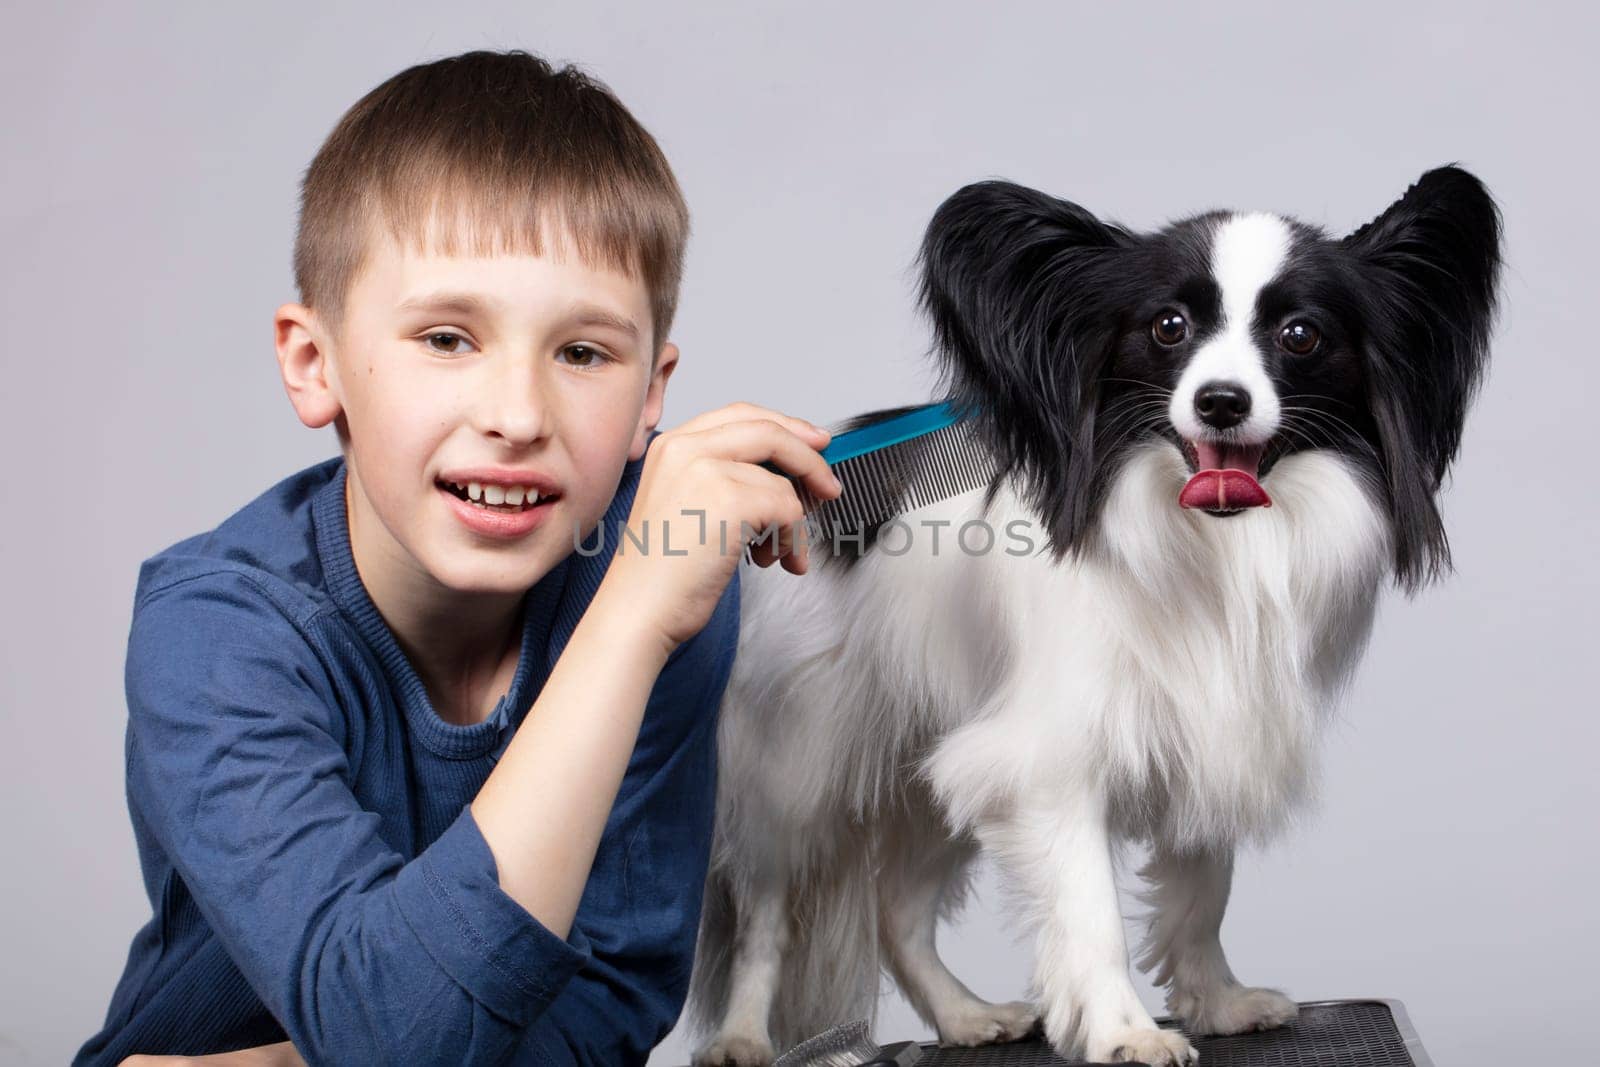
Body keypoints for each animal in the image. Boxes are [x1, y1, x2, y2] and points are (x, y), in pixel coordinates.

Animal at [684, 167, 1497, 1067]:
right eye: (1170, 328)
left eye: (1300, 335)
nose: (1220, 401)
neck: (1214, 545)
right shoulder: (1051, 763)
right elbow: (1090, 911)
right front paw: (1123, 1030)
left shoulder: (1211, 725)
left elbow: (1202, 891)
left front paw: (1217, 1001)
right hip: (794, 769)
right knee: (764, 913)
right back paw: (743, 1036)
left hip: (930, 770)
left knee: (896, 912)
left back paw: (964, 1018)